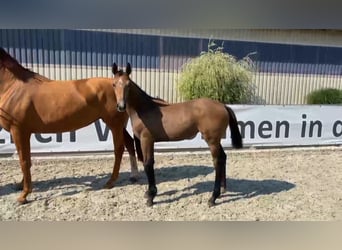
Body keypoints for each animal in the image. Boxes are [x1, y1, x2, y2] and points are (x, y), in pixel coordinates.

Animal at [0, 47, 141, 204]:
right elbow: (26, 159)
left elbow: (23, 160)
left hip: (114, 124)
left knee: (119, 149)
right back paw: (134, 175)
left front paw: (24, 194)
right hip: (118, 125)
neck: (14, 87)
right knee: (129, 143)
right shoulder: (25, 132)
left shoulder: (19, 130)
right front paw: (21, 185)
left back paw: (111, 181)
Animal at [113, 63, 243, 207]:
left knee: (218, 161)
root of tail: (223, 106)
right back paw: (223, 189)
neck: (145, 109)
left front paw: (151, 196)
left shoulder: (147, 140)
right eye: (114, 84)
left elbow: (148, 164)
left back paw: (213, 197)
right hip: (216, 140)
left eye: (128, 84)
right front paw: (148, 193)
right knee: (223, 157)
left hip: (212, 140)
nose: (121, 106)